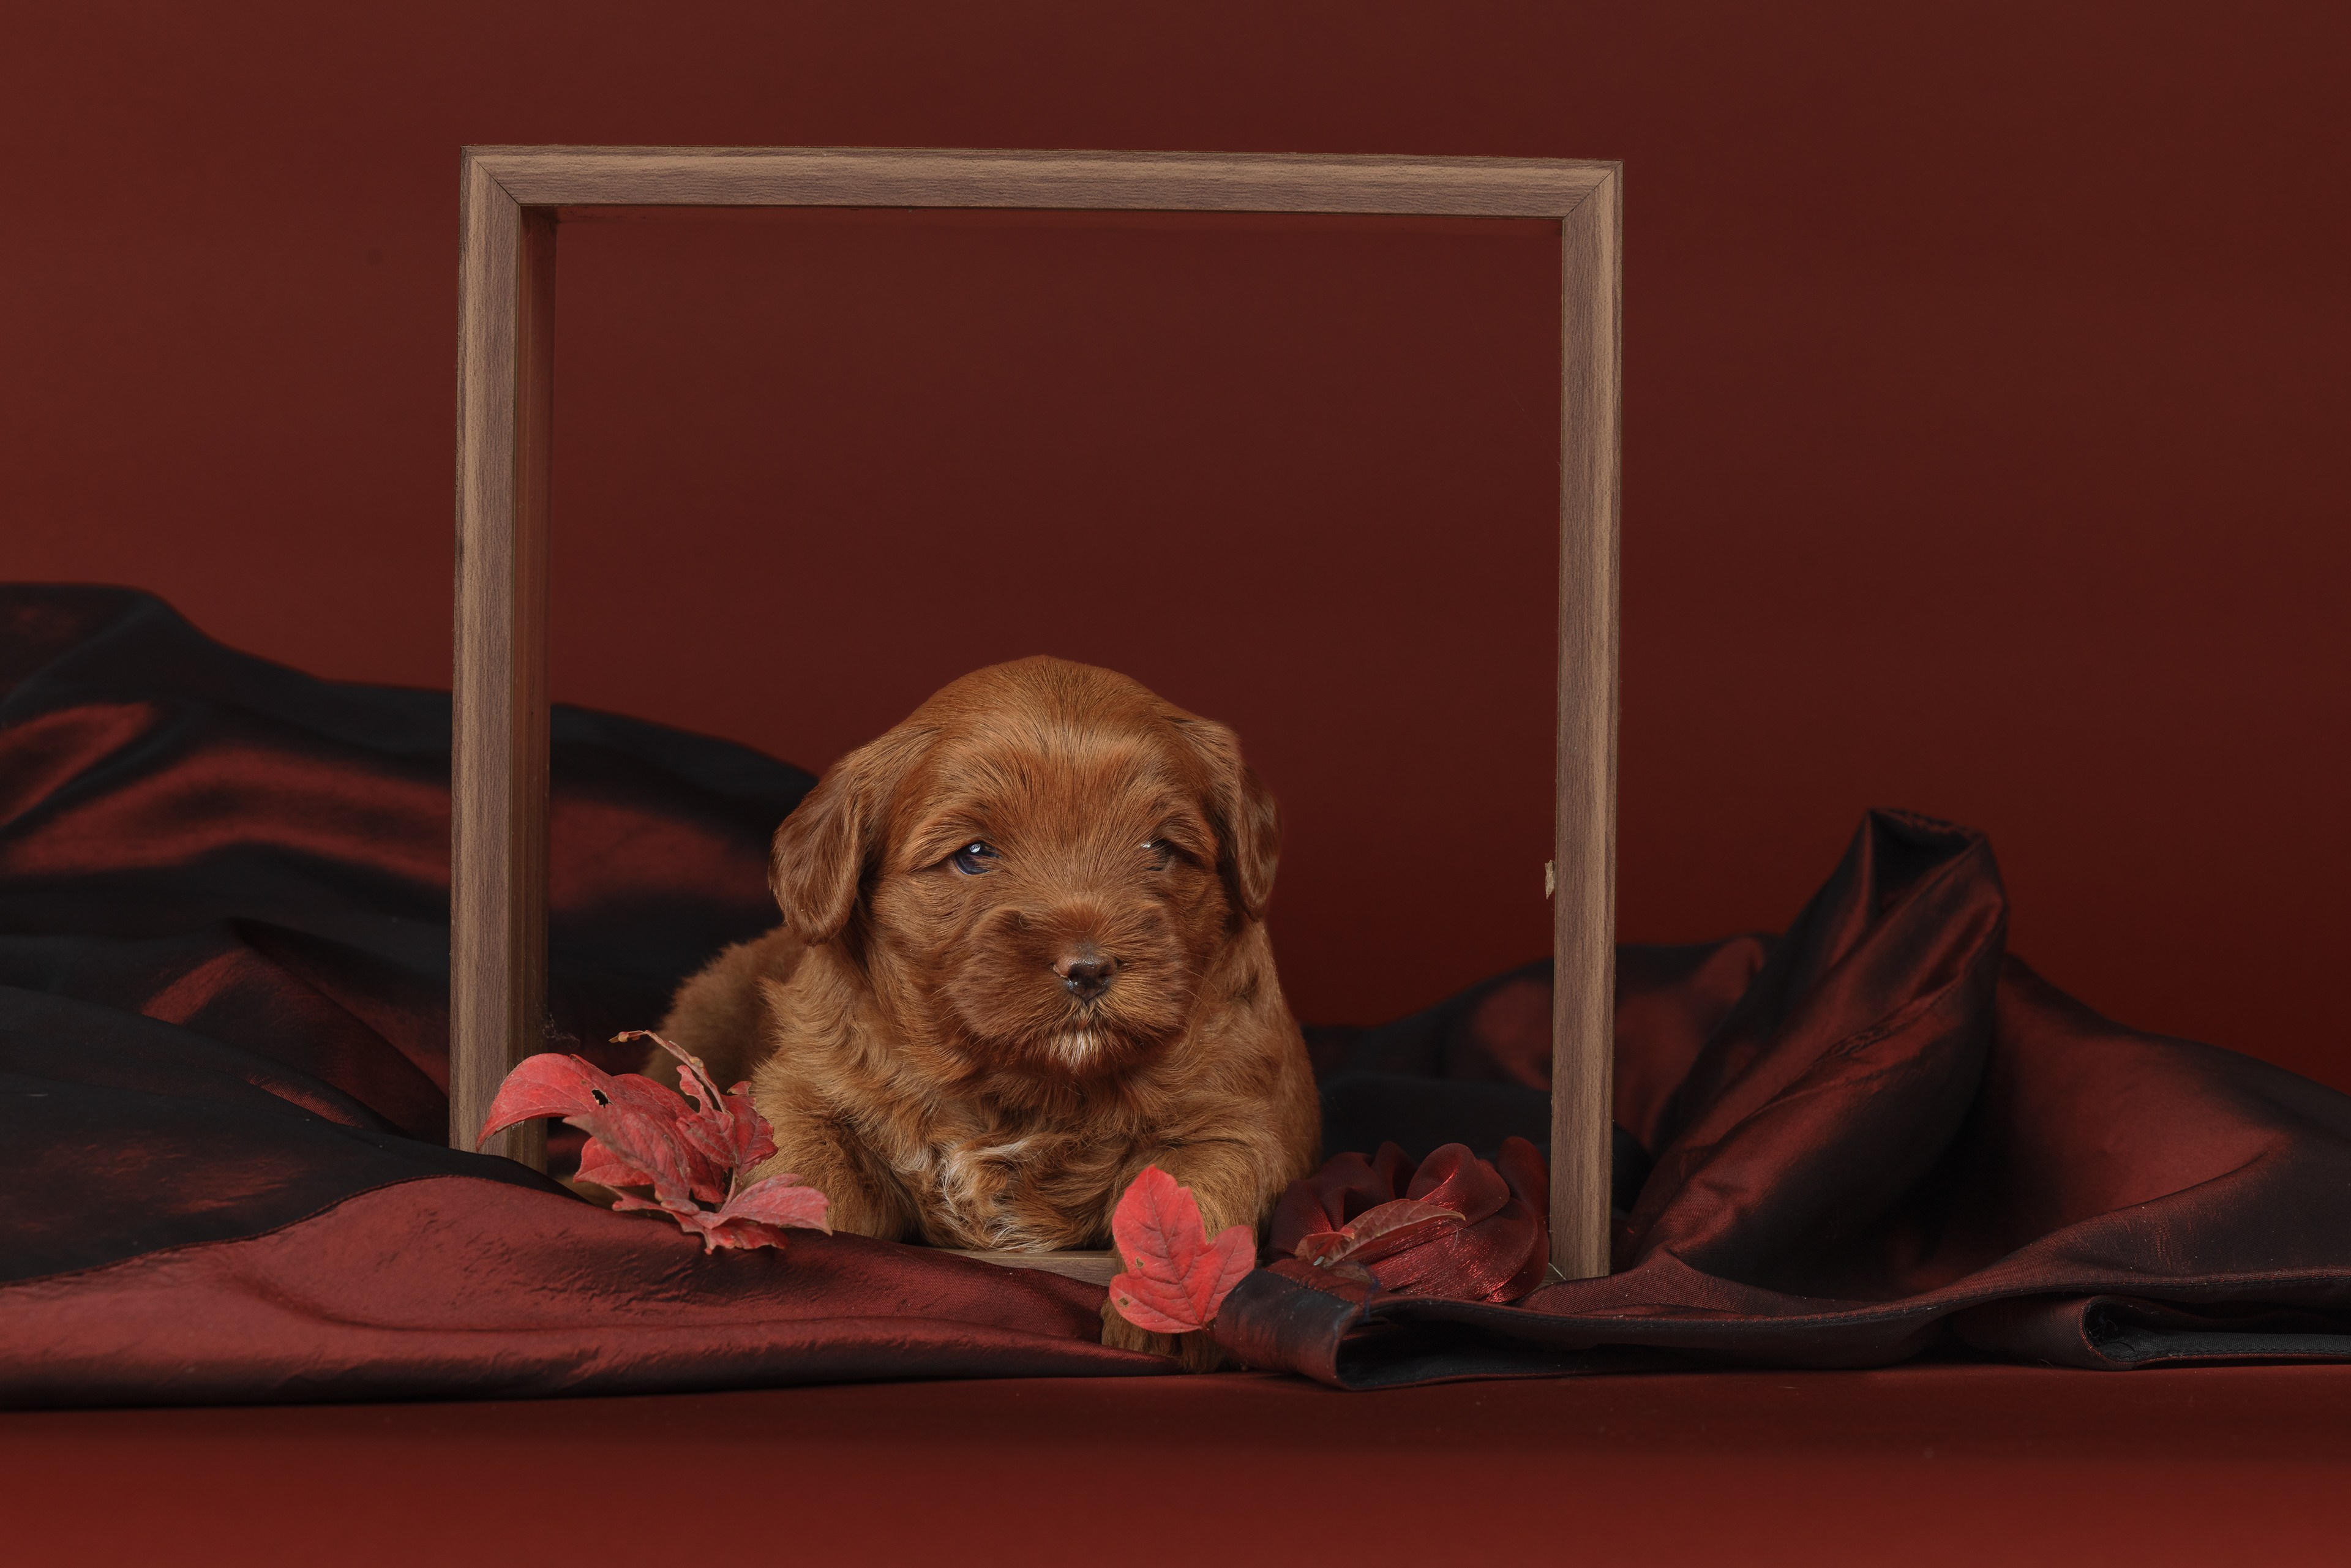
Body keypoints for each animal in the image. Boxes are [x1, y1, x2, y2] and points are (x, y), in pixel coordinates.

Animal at [642, 656, 1321, 1364]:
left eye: (1158, 848)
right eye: (974, 854)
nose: (1088, 969)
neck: (1021, 1089)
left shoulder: (1233, 1118)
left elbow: (1194, 1193)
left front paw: (1165, 1318)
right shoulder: (804, 1091)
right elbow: (803, 1177)